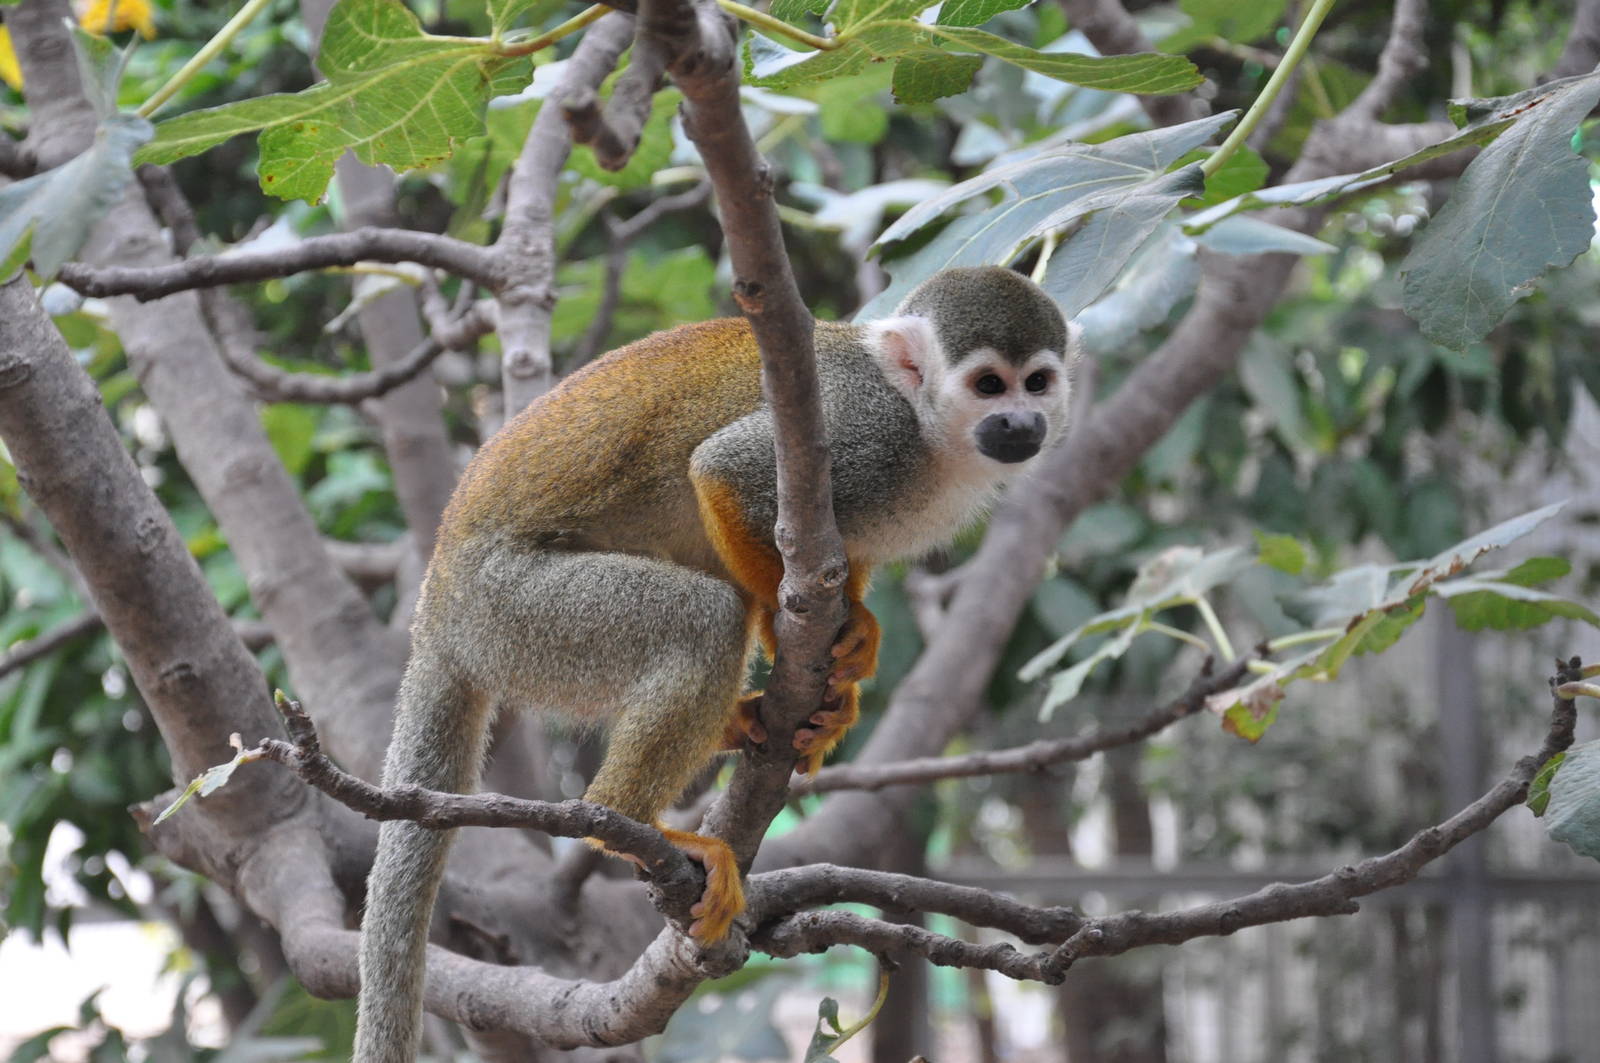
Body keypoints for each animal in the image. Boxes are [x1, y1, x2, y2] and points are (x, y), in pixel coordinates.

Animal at [353, 266, 1077, 1062]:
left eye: (1037, 382)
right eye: (988, 385)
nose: (1021, 423)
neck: (927, 431)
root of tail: (435, 606)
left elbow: (834, 562)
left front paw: (850, 659)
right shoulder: (863, 435)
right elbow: (724, 469)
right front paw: (780, 629)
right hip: (514, 612)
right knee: (701, 619)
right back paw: (633, 818)